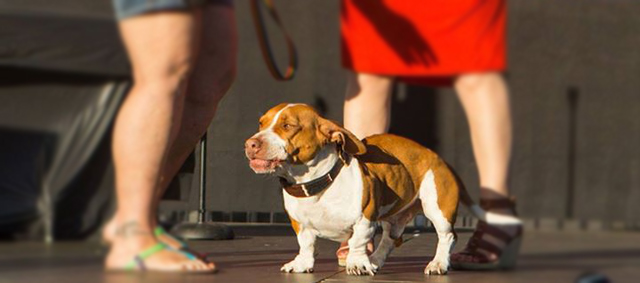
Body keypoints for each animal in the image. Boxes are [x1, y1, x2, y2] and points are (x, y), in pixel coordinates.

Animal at [242, 103, 516, 276]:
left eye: (288, 126)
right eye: (261, 123)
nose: (250, 144)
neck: (318, 183)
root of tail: (437, 157)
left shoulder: (364, 219)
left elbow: (357, 241)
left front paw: (357, 264)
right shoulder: (300, 224)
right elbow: (306, 244)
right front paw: (302, 263)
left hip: (437, 208)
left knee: (447, 236)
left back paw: (438, 263)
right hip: (394, 218)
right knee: (391, 240)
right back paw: (375, 260)